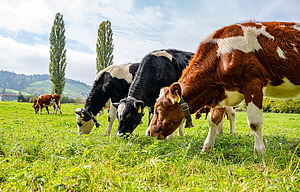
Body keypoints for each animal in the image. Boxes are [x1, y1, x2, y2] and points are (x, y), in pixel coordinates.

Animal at [148, 21, 300, 156]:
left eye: (160, 109)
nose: (148, 132)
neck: (222, 55)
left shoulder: (253, 84)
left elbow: (254, 123)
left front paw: (260, 153)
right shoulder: (221, 91)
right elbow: (214, 120)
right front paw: (206, 148)